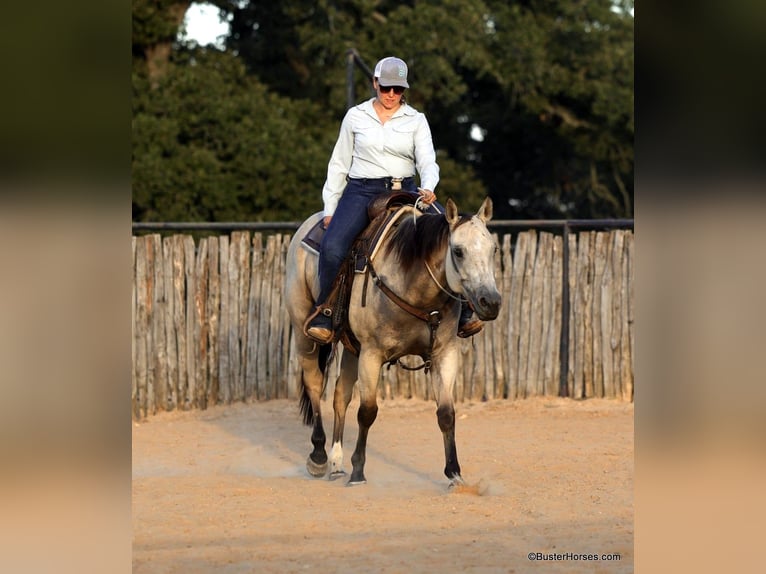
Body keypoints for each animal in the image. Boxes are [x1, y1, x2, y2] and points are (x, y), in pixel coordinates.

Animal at [284, 197, 501, 487]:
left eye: (493, 249)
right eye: (458, 251)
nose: (491, 302)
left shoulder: (445, 353)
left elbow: (446, 413)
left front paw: (455, 474)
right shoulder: (372, 354)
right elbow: (367, 412)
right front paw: (358, 472)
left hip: (352, 347)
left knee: (341, 395)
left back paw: (337, 463)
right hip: (303, 331)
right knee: (315, 383)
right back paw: (319, 456)